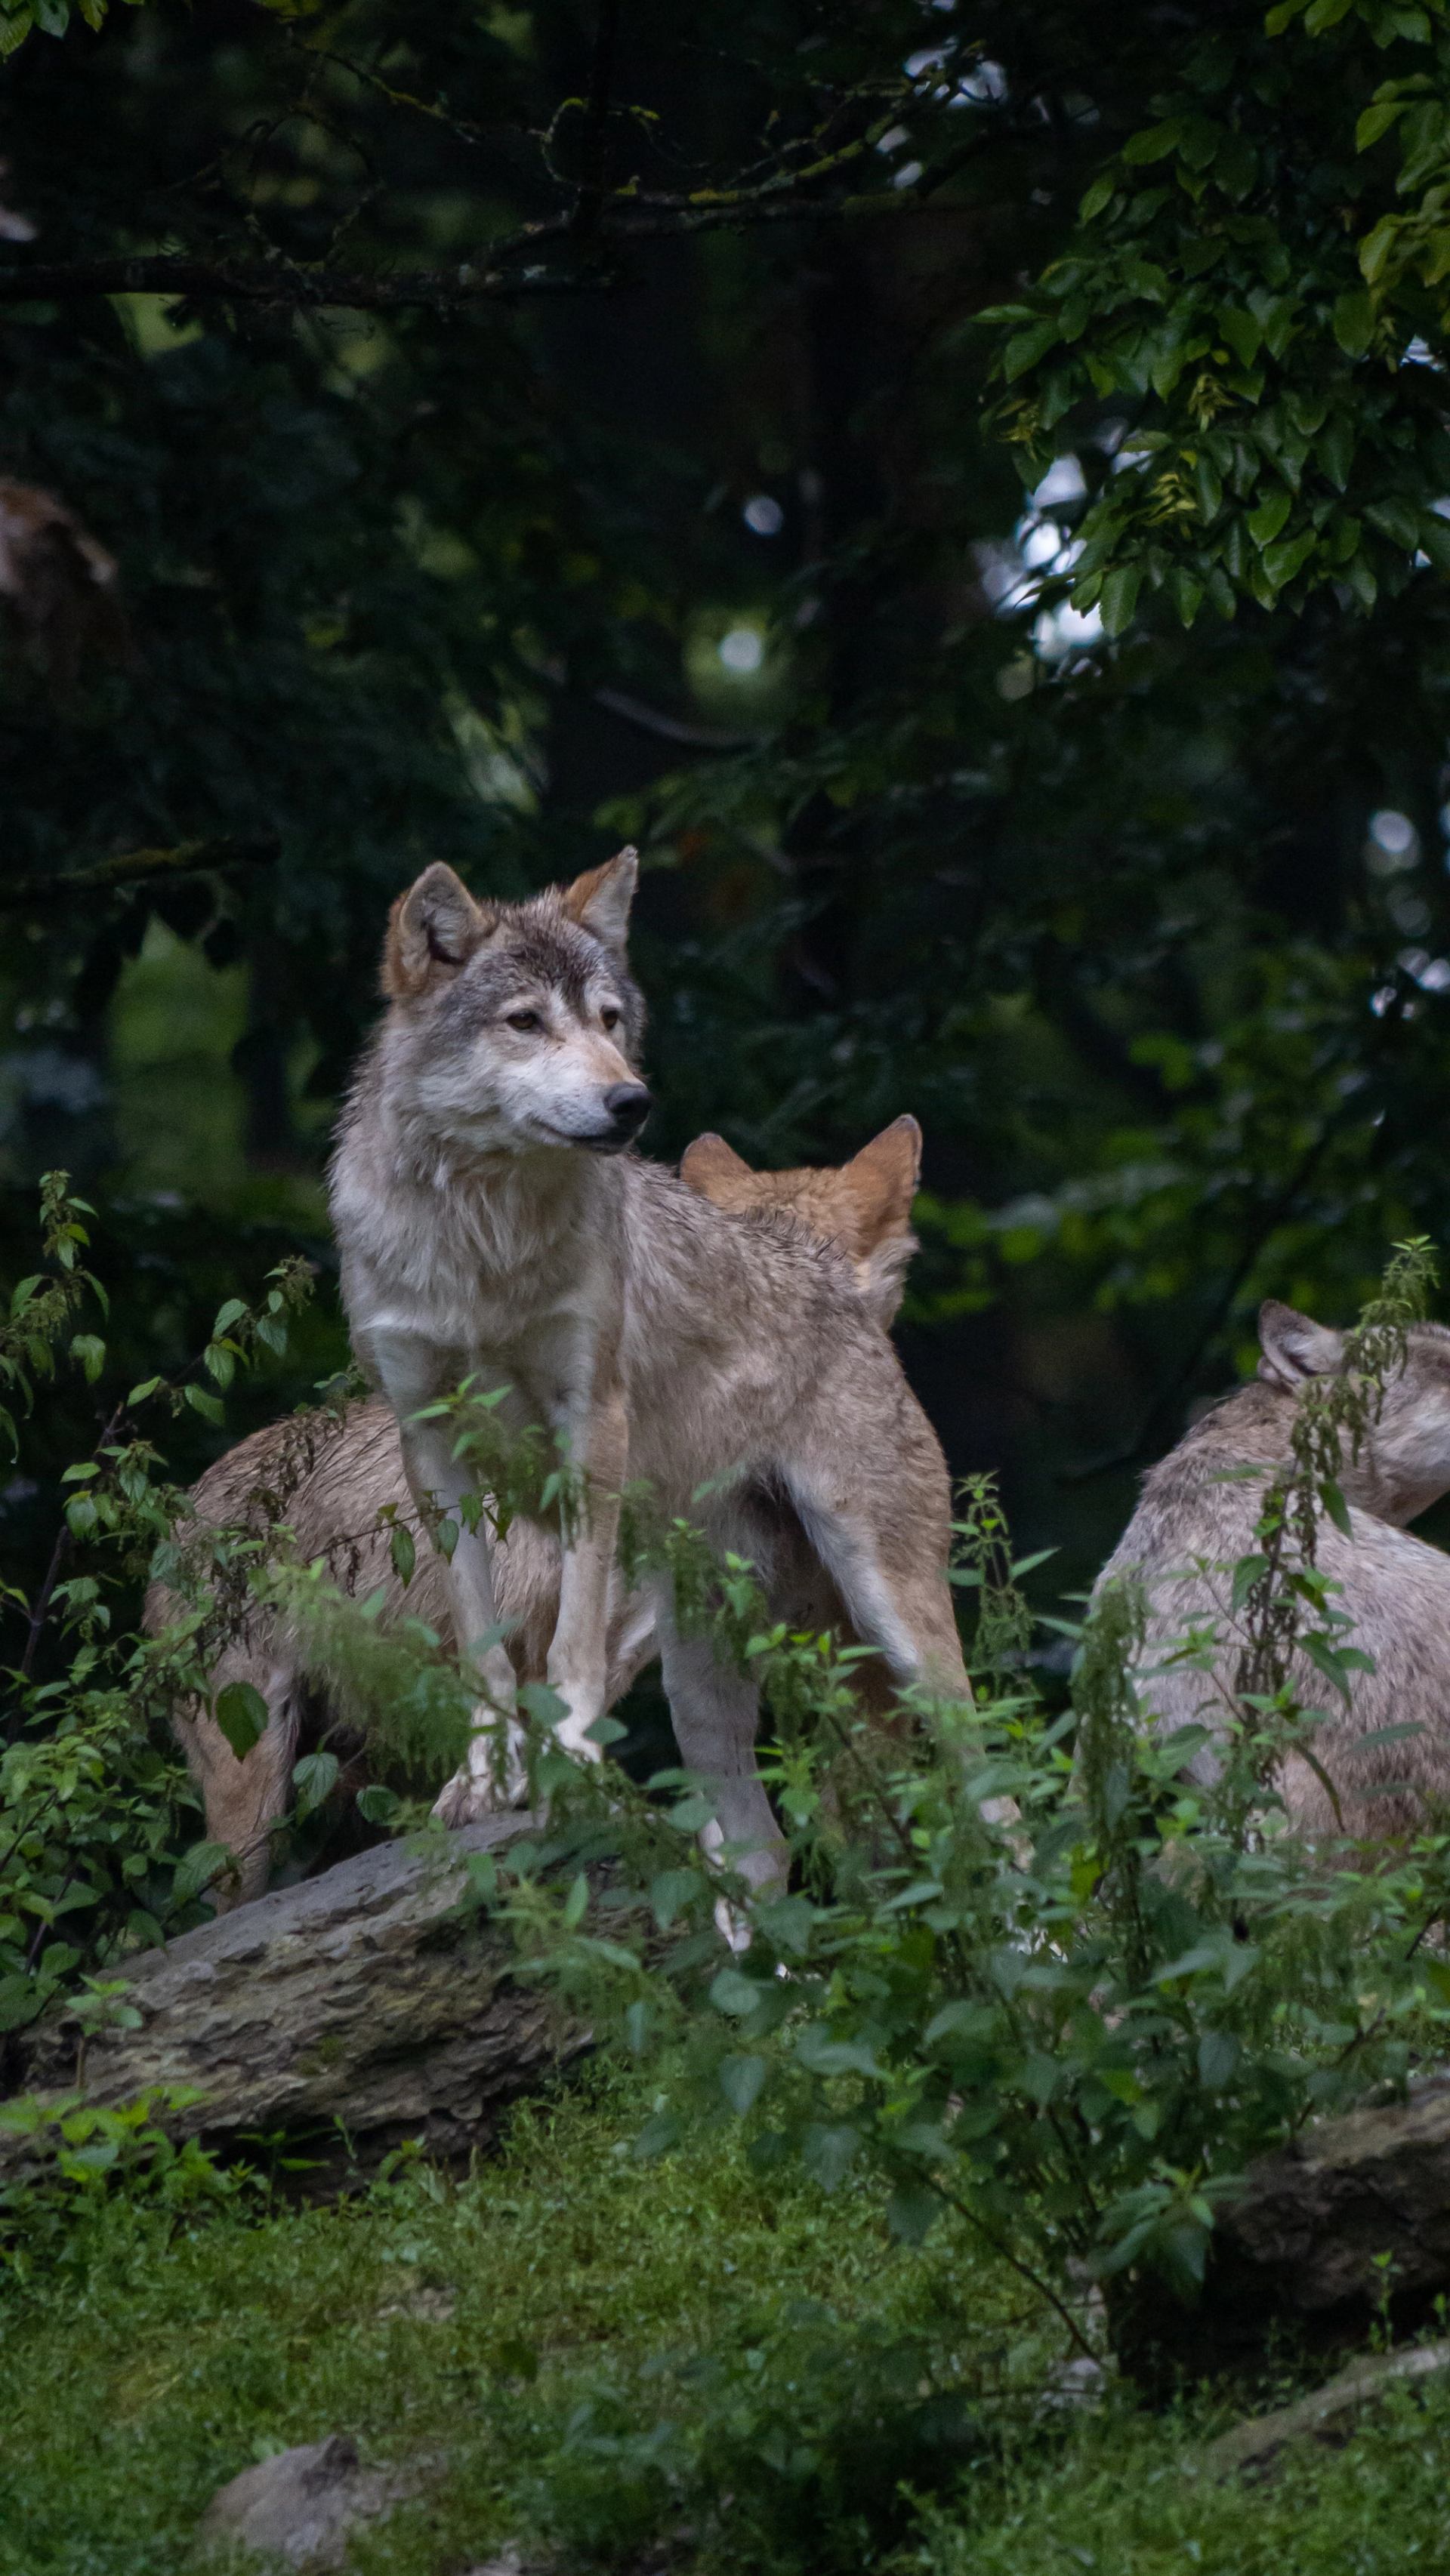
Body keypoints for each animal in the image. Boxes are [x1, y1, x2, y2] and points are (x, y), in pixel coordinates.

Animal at [327, 849, 967, 1873]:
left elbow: (569, 1644)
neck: (483, 1241)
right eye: (525, 1022)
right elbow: (482, 1645)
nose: (631, 1100)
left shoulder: (591, 1423)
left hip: (898, 1629)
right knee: (762, 1854)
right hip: (706, 1682)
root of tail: (838, 1282)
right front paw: (480, 1780)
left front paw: (571, 1757)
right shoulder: (427, 1443)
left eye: (609, 1020)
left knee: (1005, 1805)